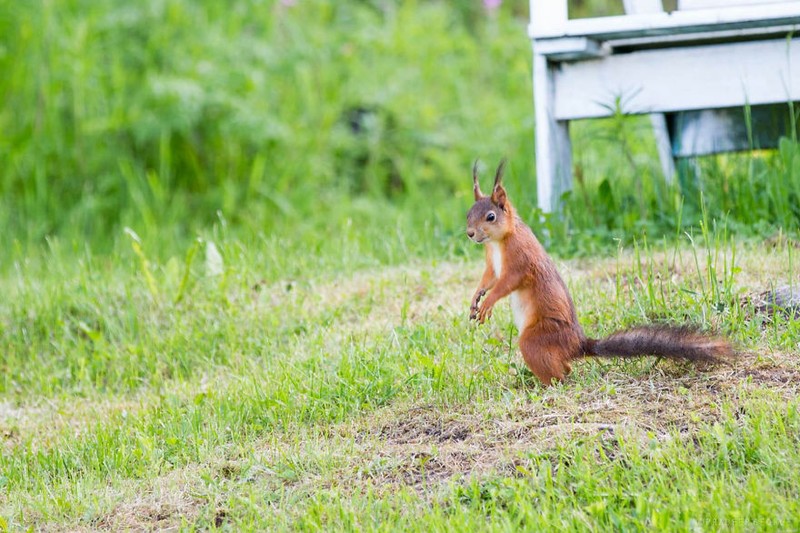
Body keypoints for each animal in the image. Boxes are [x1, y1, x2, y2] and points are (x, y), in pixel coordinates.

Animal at [466, 157, 736, 382]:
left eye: (491, 216)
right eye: (468, 214)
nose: (470, 234)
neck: (498, 242)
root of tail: (577, 344)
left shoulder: (521, 260)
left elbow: (507, 282)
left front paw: (488, 303)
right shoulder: (492, 263)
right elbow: (489, 278)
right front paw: (476, 297)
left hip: (538, 338)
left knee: (559, 372)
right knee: (566, 367)